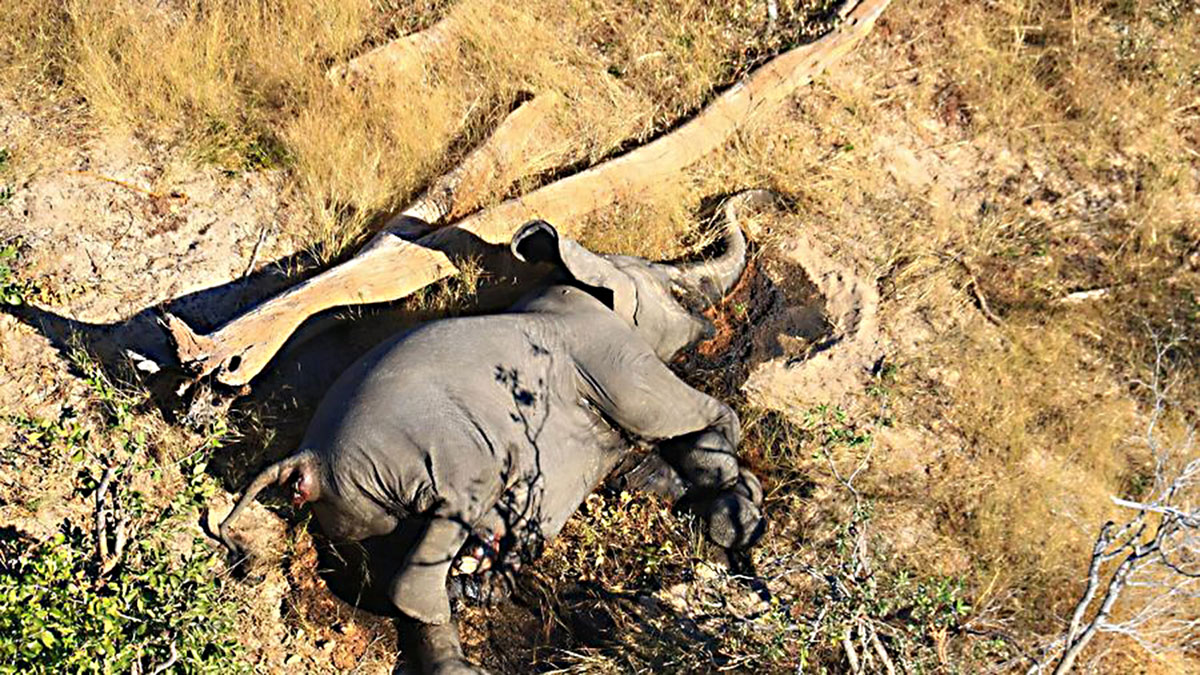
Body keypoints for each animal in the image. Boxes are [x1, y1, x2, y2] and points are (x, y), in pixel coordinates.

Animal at [218, 191, 773, 673]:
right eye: (677, 289)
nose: (755, 199)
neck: (579, 279)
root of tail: (305, 458)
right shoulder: (610, 355)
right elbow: (687, 414)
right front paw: (741, 515)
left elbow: (642, 464)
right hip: (419, 455)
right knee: (437, 537)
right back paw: (467, 609)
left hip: (360, 510)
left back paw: (474, 597)